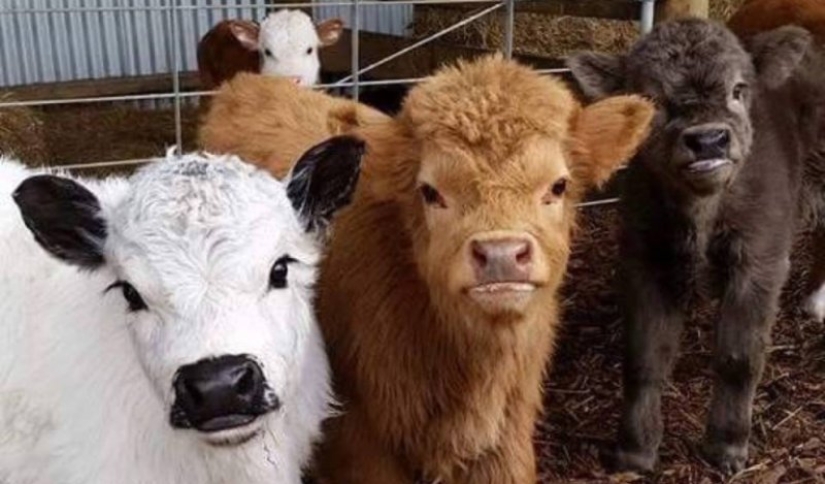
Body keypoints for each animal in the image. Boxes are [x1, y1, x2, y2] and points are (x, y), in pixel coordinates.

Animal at [568, 18, 825, 474]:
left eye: (739, 89)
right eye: (652, 97)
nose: (708, 141)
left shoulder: (759, 261)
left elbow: (738, 359)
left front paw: (727, 446)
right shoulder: (645, 259)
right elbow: (644, 357)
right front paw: (635, 450)